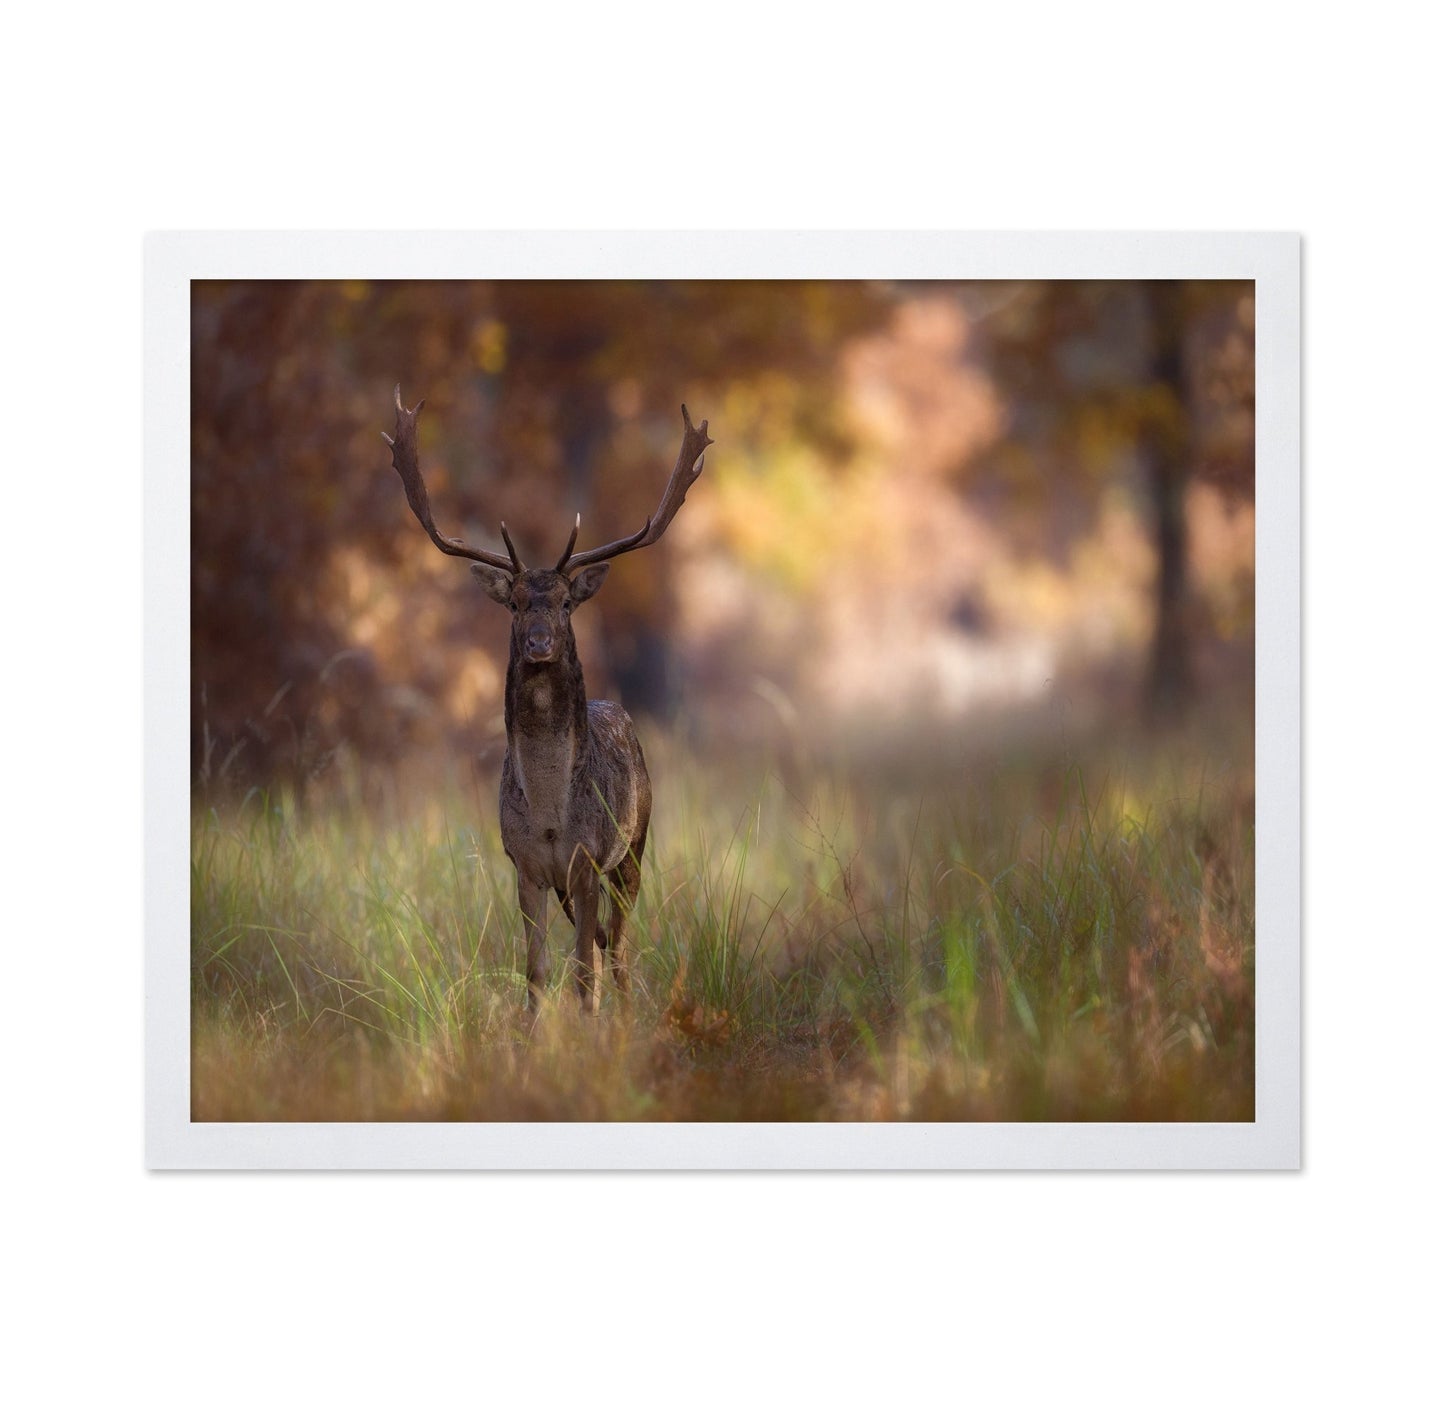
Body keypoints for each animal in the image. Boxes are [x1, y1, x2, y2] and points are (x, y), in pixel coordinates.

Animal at [382, 386, 712, 1013]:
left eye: (564, 603)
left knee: (618, 947)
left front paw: (593, 1028)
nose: (538, 643)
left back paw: (626, 1012)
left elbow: (583, 970)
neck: (551, 817)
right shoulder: (526, 867)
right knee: (606, 945)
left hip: (635, 845)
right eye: (513, 602)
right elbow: (536, 971)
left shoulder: (587, 860)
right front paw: (532, 1034)